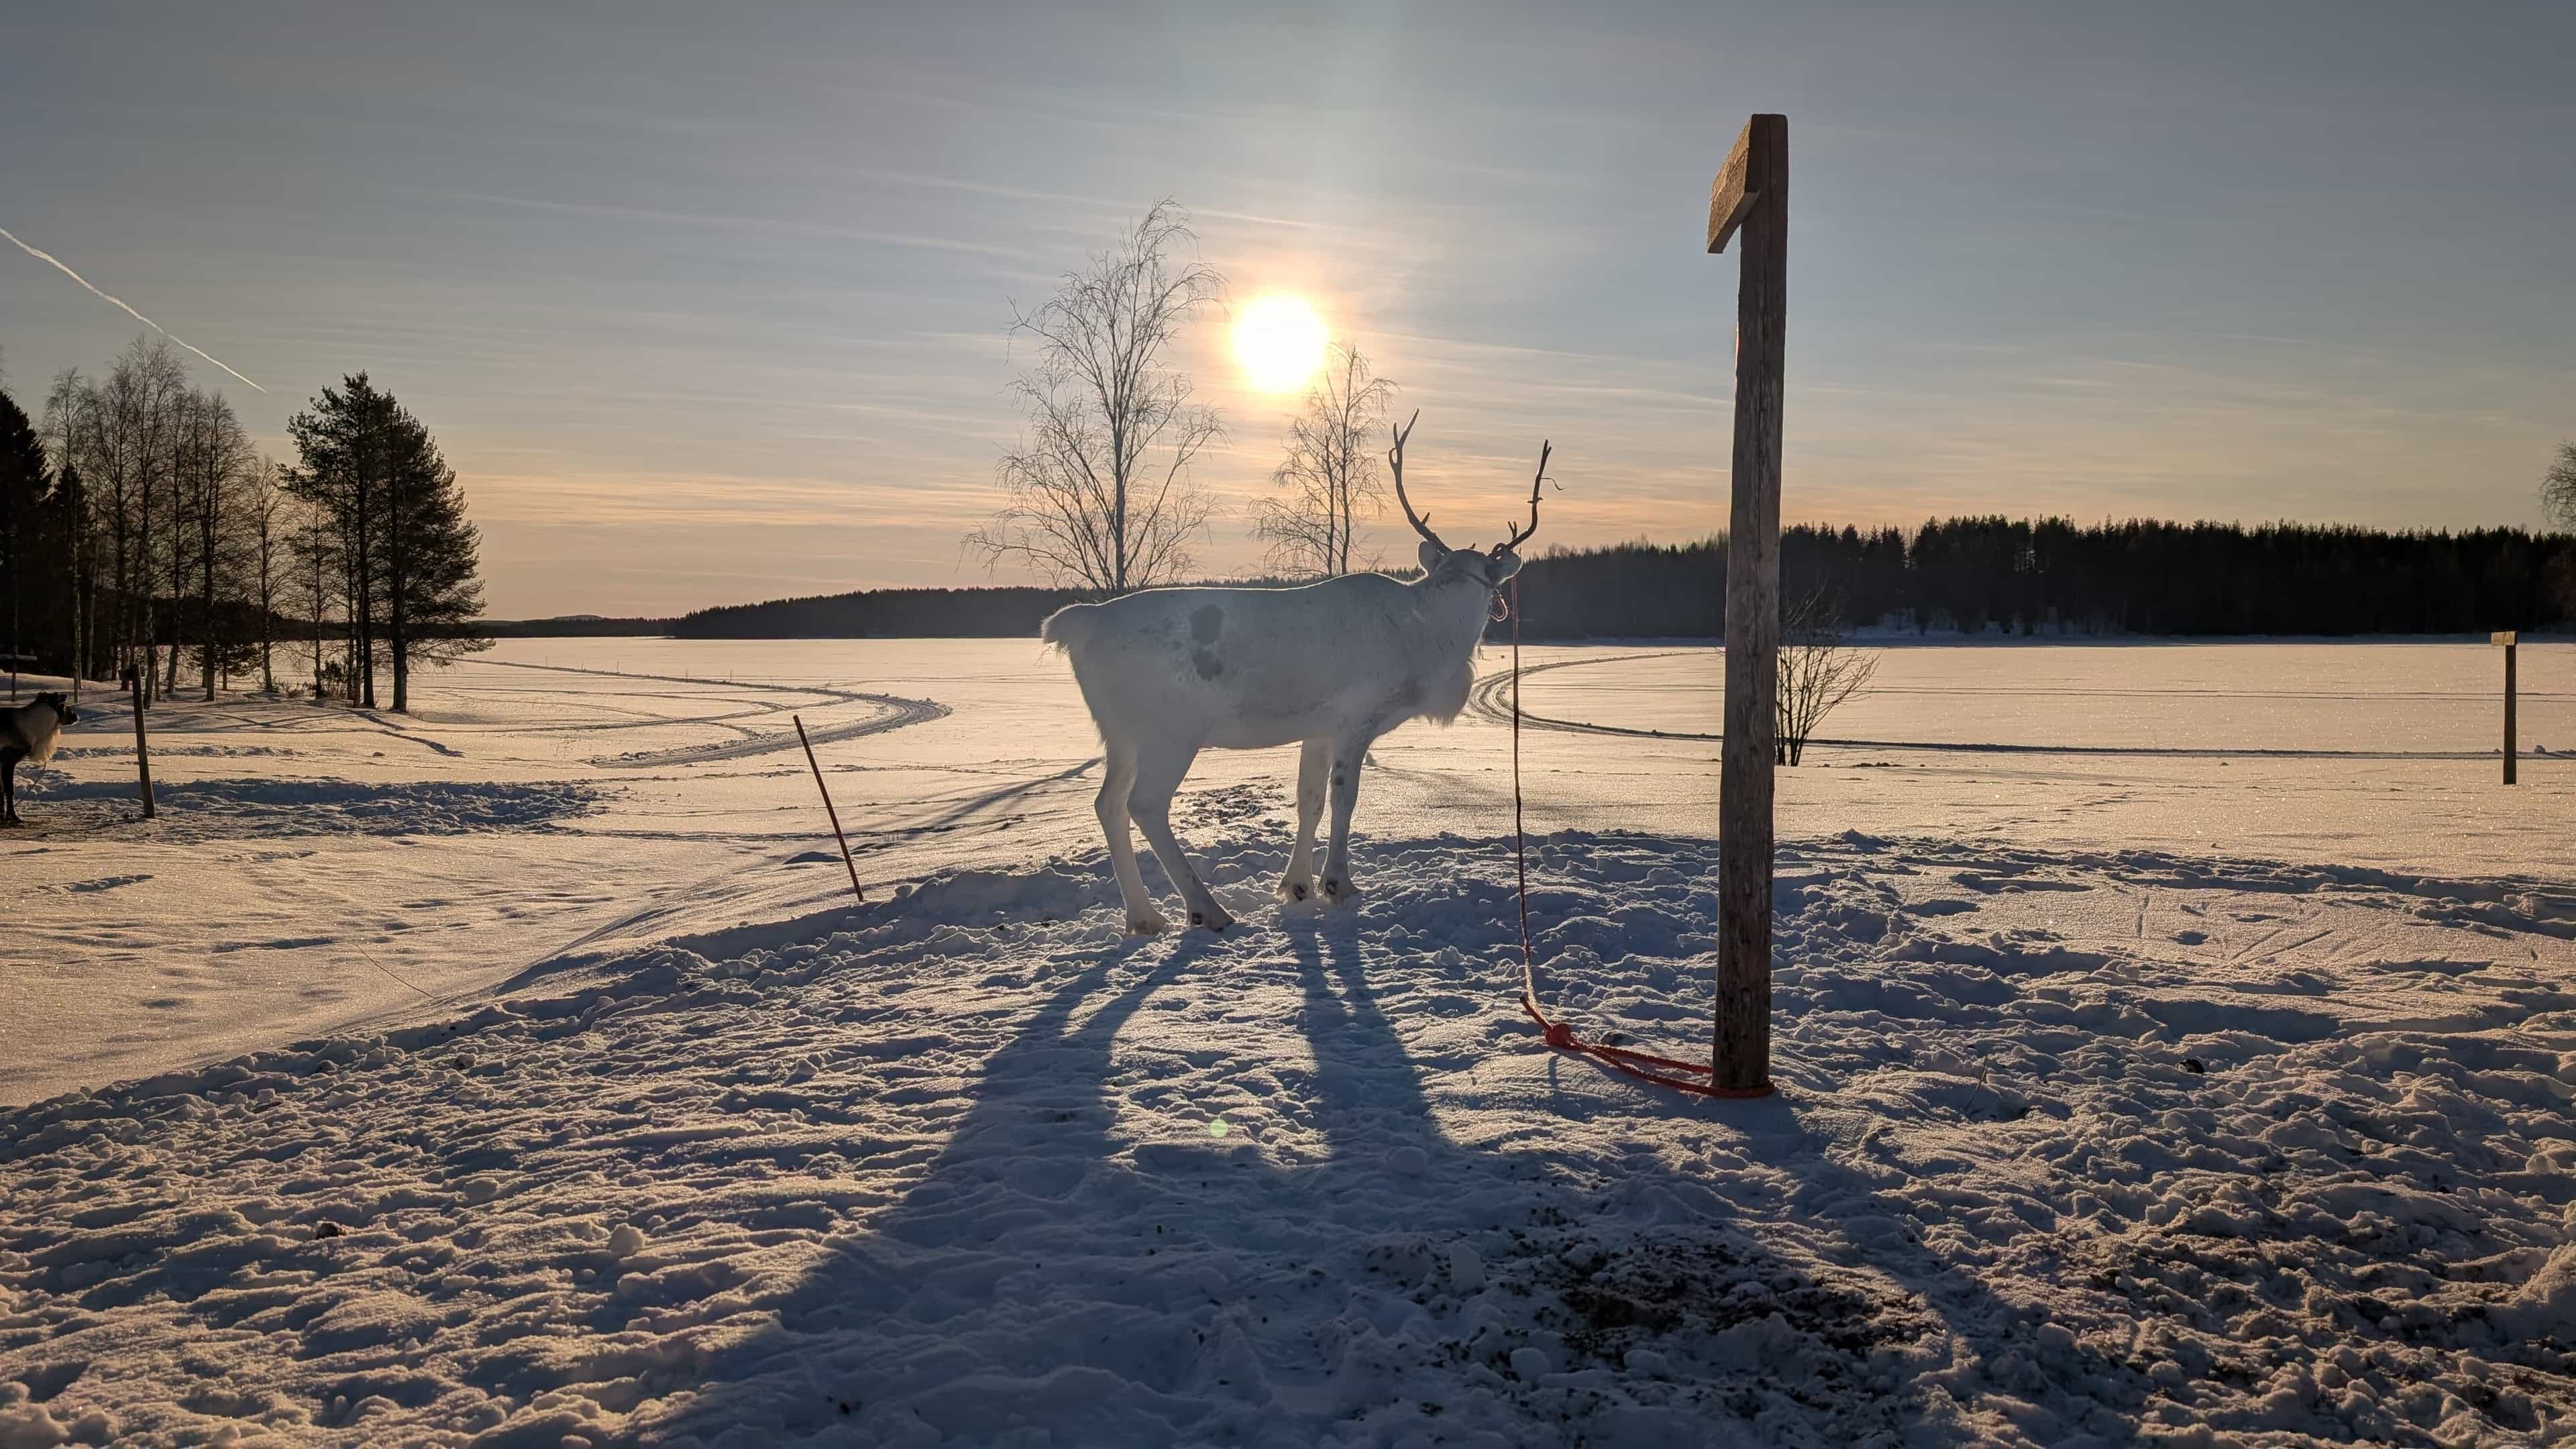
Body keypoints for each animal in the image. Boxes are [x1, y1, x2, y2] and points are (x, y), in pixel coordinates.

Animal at [1043, 415, 1550, 934]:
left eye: (1482, 577)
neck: (1428, 637)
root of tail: (1079, 624)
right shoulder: (1356, 719)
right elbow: (1344, 797)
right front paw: (1338, 884)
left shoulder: (1318, 728)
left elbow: (1309, 799)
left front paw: (1297, 884)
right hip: (1171, 731)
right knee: (1144, 804)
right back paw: (1208, 909)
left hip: (1121, 733)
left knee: (1107, 803)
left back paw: (1145, 917)